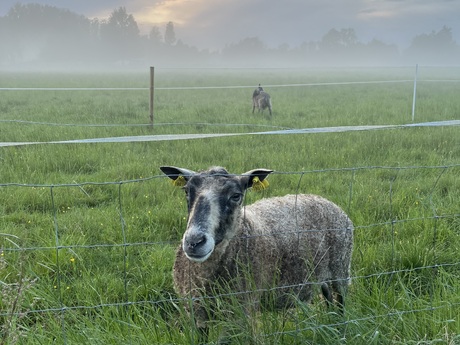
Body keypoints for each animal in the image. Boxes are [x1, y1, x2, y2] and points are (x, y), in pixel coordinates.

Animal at [160, 165, 354, 340]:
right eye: (187, 192)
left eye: (236, 196)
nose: (194, 242)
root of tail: (325, 201)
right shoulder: (197, 312)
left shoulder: (240, 312)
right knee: (329, 300)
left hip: (341, 270)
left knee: (341, 304)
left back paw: (340, 332)